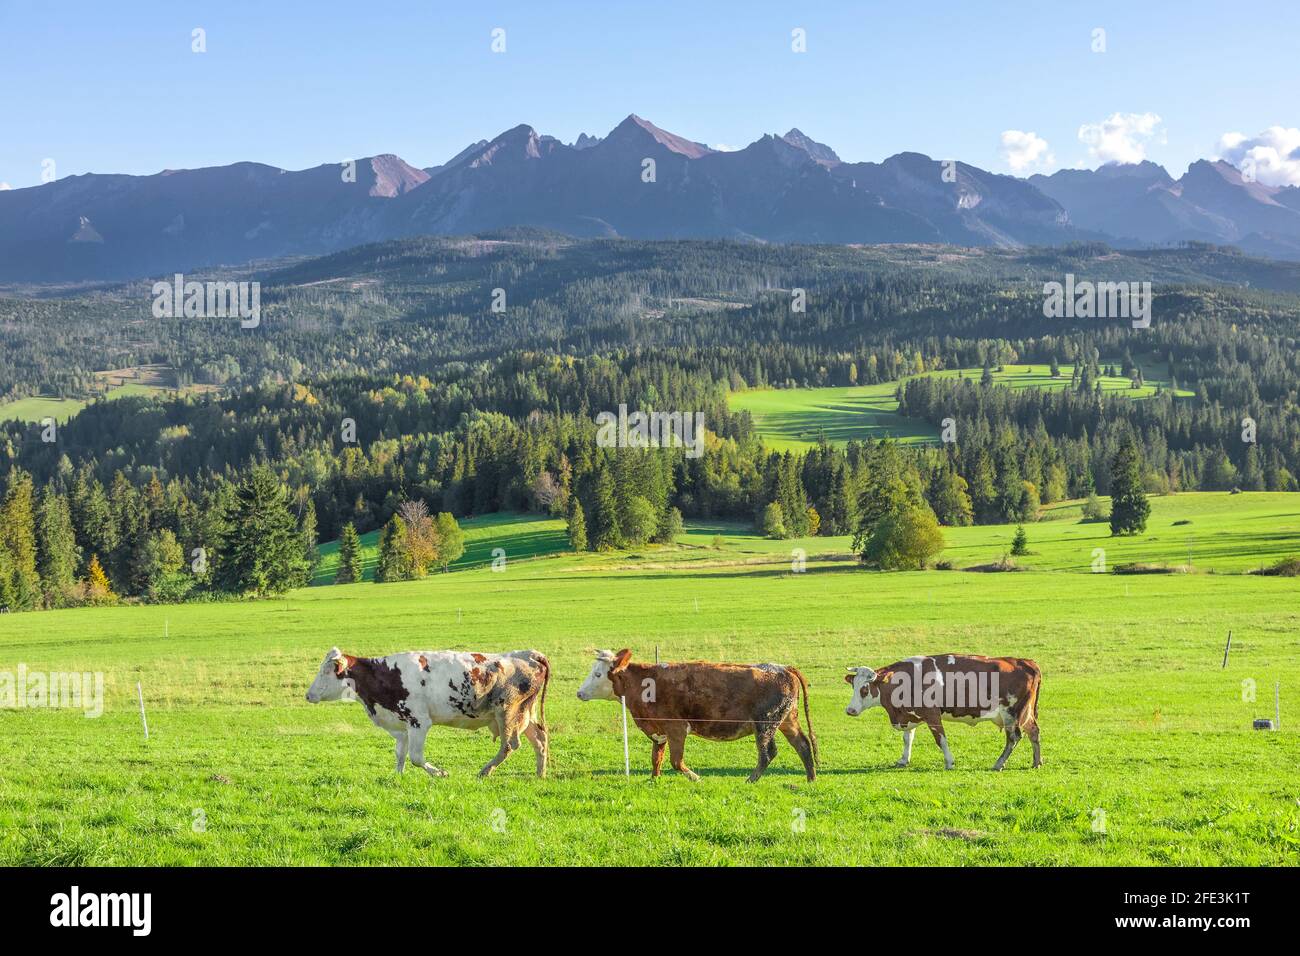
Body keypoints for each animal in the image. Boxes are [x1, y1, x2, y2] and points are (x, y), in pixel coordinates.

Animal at [306, 650, 551, 780]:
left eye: (325, 671)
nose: (308, 695)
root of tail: (529, 654)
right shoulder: (401, 724)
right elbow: (400, 754)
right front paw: (398, 777)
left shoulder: (419, 722)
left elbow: (416, 757)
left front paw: (439, 772)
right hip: (525, 714)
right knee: (539, 739)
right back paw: (540, 774)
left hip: (507, 712)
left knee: (509, 745)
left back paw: (485, 770)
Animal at [577, 650, 816, 785]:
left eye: (598, 674)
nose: (579, 693)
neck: (646, 683)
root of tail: (784, 668)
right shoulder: (659, 731)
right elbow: (656, 758)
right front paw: (654, 779)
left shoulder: (676, 729)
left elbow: (676, 761)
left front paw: (696, 778)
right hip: (787, 720)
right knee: (803, 745)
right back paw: (811, 778)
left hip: (765, 724)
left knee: (767, 753)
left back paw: (750, 780)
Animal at [842, 655, 1045, 775]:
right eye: (854, 686)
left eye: (865, 689)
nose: (850, 710)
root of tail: (1027, 662)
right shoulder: (910, 713)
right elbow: (908, 738)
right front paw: (903, 759)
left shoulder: (932, 714)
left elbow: (941, 739)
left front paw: (949, 762)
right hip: (1026, 713)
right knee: (1033, 732)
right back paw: (1036, 762)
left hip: (1012, 712)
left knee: (1013, 737)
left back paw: (999, 763)